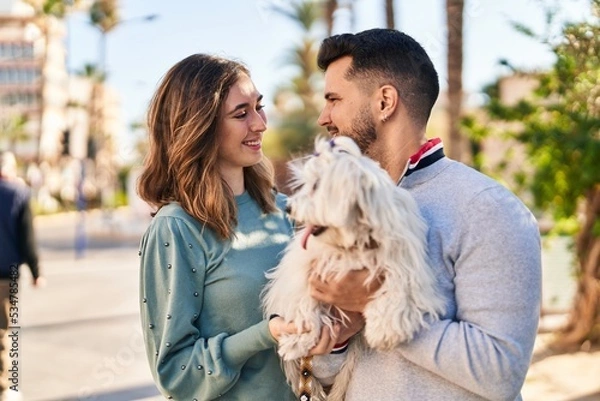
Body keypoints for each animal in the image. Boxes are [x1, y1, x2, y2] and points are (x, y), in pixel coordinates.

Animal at [262, 136, 446, 398]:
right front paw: (299, 339)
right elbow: (304, 303)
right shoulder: (304, 267)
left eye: (317, 186)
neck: (354, 239)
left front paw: (385, 328)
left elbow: (399, 290)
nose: (289, 208)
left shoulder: (406, 261)